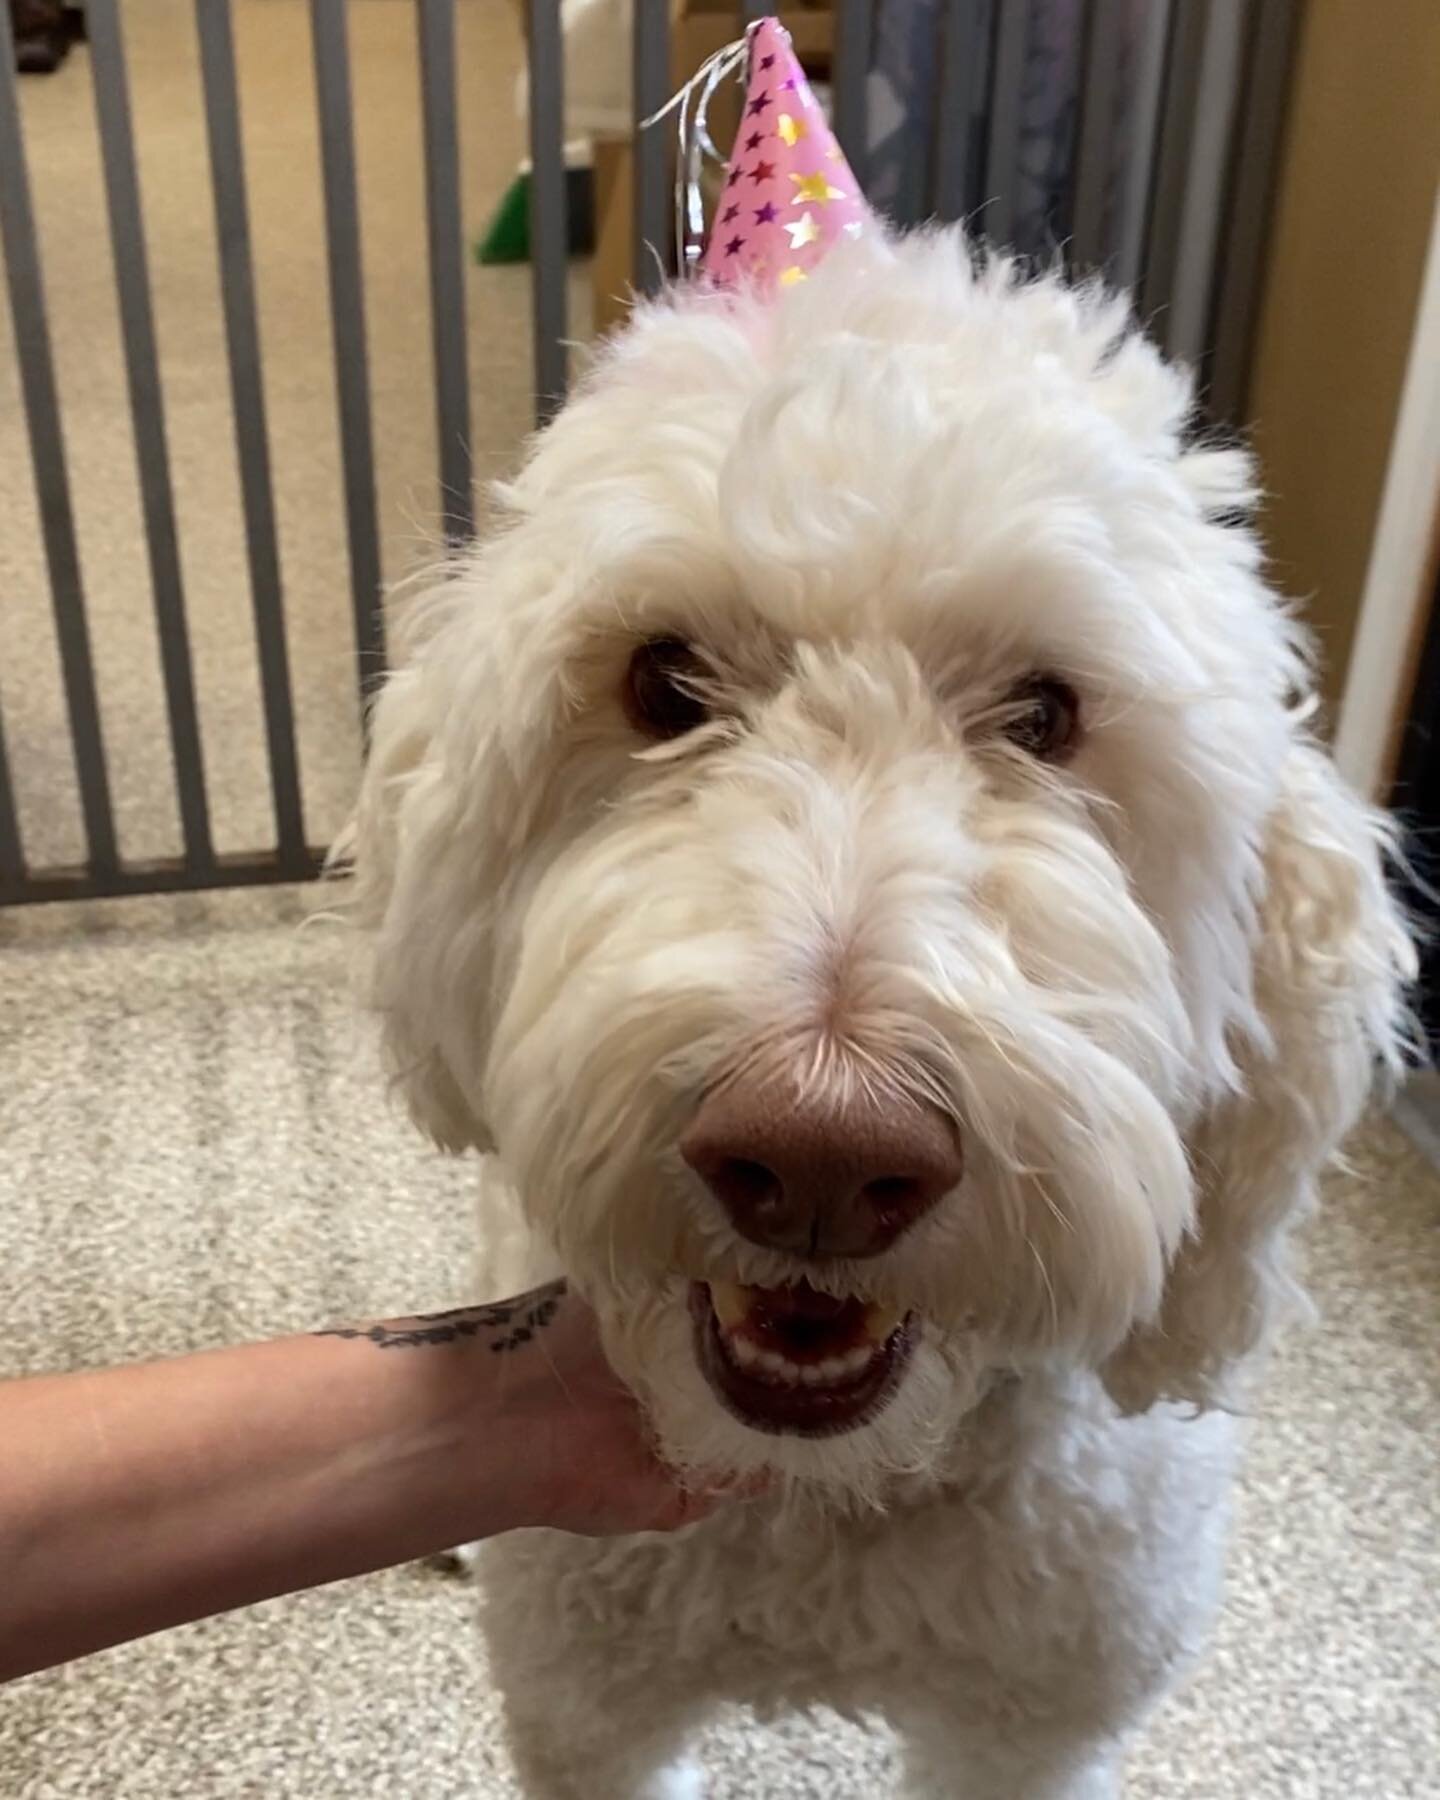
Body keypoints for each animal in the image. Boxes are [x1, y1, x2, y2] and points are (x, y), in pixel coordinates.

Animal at [345, 232, 1404, 1792]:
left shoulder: (1033, 1728)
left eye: (1045, 713)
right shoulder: (588, 1715)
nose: (820, 1158)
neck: (829, 1506)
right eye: (663, 680)